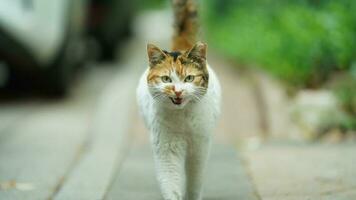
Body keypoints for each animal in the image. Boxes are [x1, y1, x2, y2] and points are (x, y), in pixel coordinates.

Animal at [136, 0, 221, 199]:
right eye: (166, 79)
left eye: (189, 78)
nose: (177, 91)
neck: (183, 118)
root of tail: (180, 47)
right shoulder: (166, 148)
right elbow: (171, 182)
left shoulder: (199, 148)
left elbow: (194, 182)